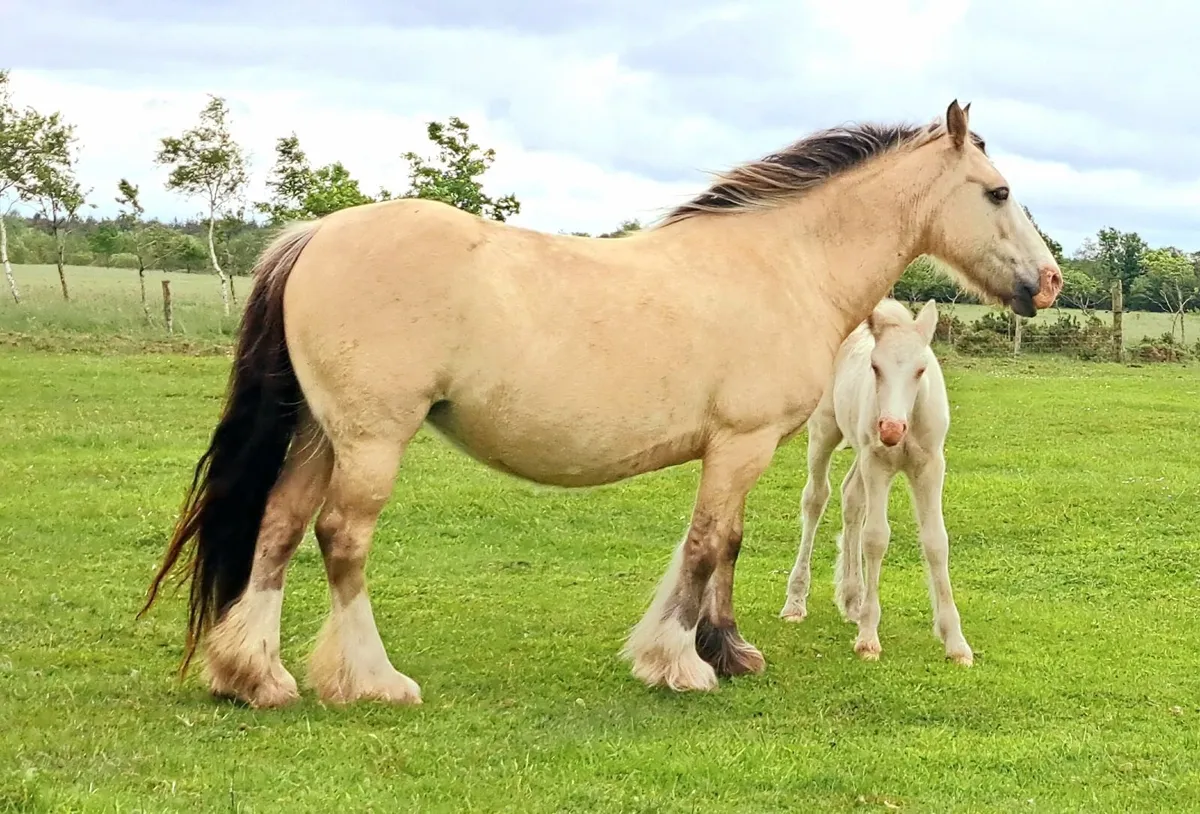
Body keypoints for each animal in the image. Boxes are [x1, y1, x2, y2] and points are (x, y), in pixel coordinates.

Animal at [779, 298, 973, 666]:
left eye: (921, 369)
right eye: (875, 367)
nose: (891, 429)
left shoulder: (930, 466)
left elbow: (936, 541)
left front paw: (956, 642)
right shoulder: (877, 463)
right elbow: (876, 538)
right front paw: (868, 638)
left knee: (851, 498)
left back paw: (852, 598)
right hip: (826, 431)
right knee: (816, 498)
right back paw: (796, 602)